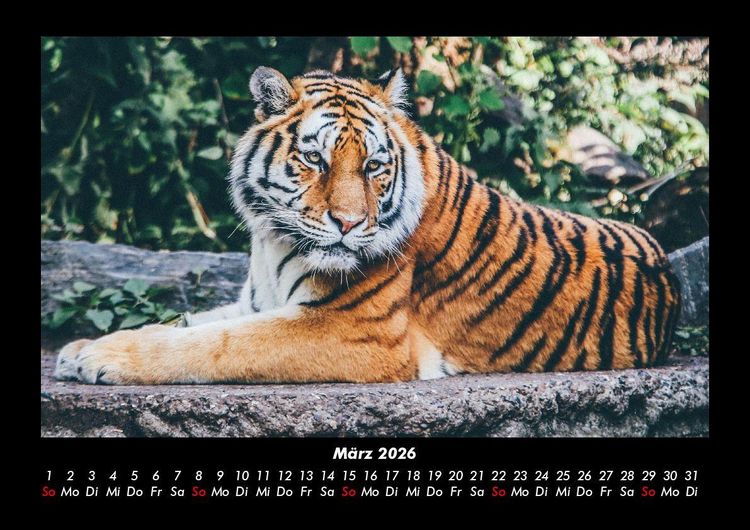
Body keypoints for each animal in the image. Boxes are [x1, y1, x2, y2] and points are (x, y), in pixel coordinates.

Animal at [54, 66, 681, 385]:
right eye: (315, 159)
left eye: (375, 167)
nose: (350, 224)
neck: (271, 242)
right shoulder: (256, 301)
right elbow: (187, 323)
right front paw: (82, 347)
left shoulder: (353, 331)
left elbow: (214, 345)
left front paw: (100, 359)